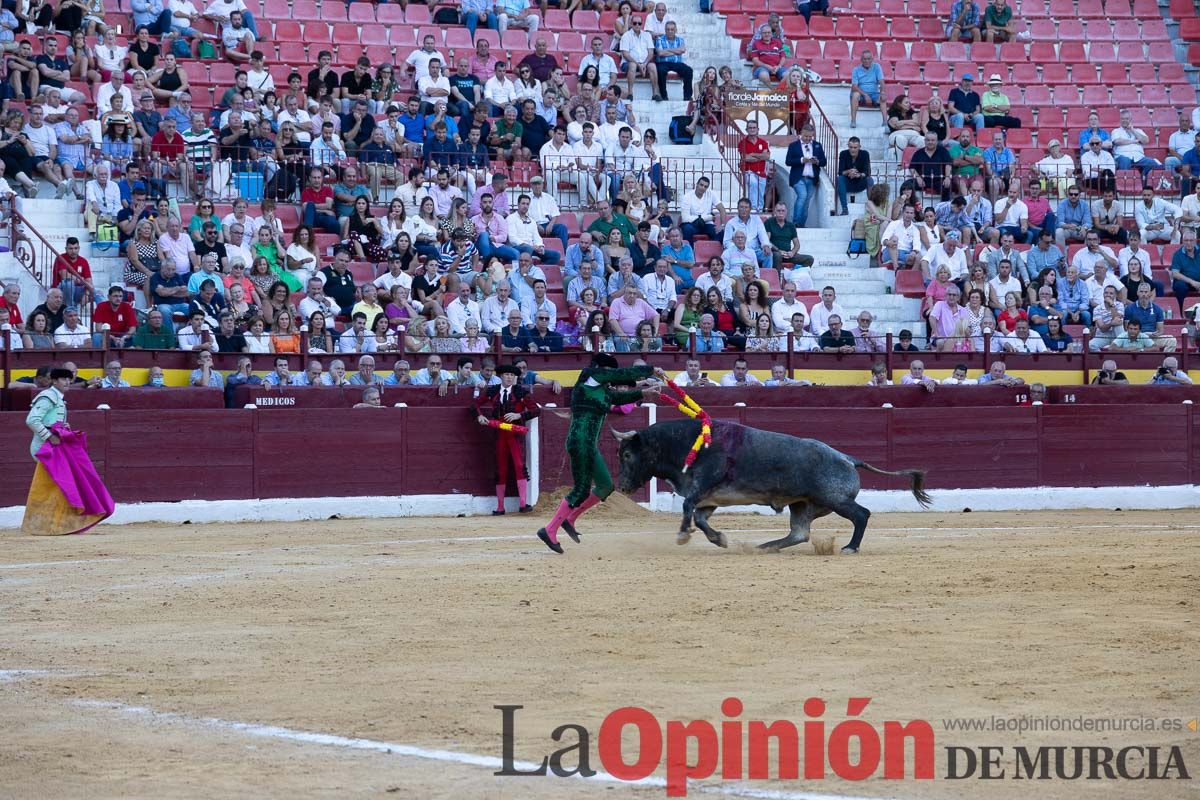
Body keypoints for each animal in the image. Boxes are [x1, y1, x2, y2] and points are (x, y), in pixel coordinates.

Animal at [614, 419, 931, 556]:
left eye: (627, 455)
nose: (623, 487)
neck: (685, 443)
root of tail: (847, 458)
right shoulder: (709, 498)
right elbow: (700, 519)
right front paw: (721, 540)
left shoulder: (701, 488)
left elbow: (686, 507)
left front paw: (682, 536)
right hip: (803, 504)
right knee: (800, 533)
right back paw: (764, 546)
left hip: (834, 498)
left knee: (861, 514)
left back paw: (850, 547)